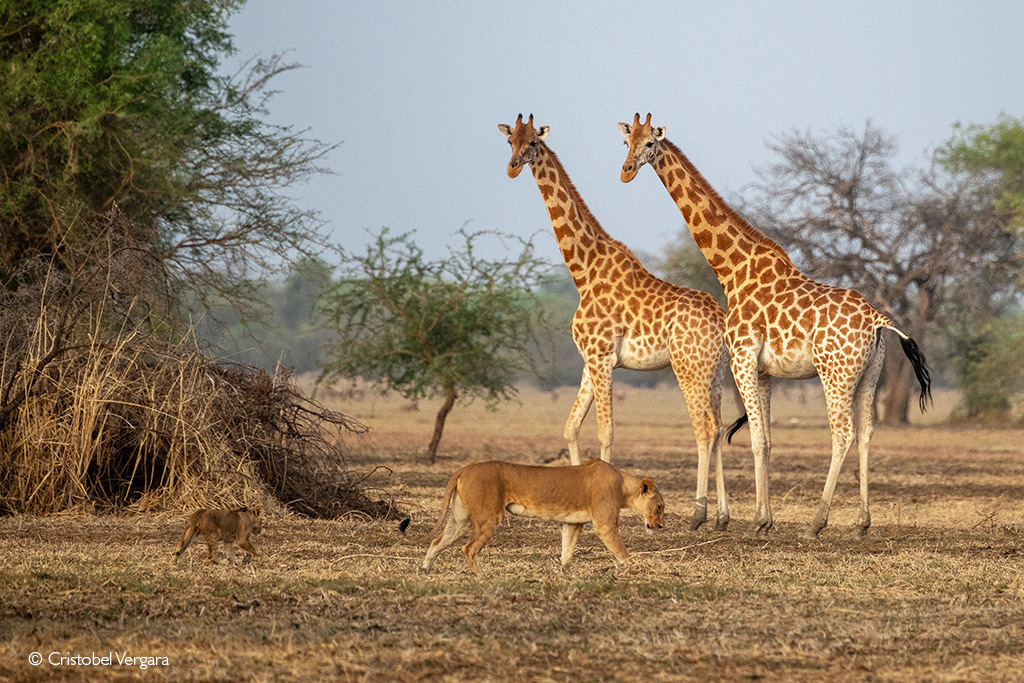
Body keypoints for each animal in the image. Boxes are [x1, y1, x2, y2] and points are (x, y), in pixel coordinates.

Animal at [499, 114, 733, 532]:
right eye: (510, 140)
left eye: (533, 144)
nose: (511, 167)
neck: (583, 269)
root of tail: (721, 321)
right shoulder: (589, 361)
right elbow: (570, 427)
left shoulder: (603, 358)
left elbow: (605, 432)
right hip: (716, 373)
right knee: (720, 426)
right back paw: (722, 515)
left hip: (688, 368)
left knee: (705, 428)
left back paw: (698, 513)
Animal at [618, 113, 933, 540]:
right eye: (626, 142)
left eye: (650, 143)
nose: (626, 172)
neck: (733, 269)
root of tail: (877, 320)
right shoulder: (765, 371)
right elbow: (767, 440)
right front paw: (764, 519)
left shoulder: (742, 360)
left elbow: (754, 439)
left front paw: (756, 520)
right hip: (869, 373)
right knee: (867, 433)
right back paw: (862, 523)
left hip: (835, 374)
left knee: (843, 434)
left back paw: (817, 522)